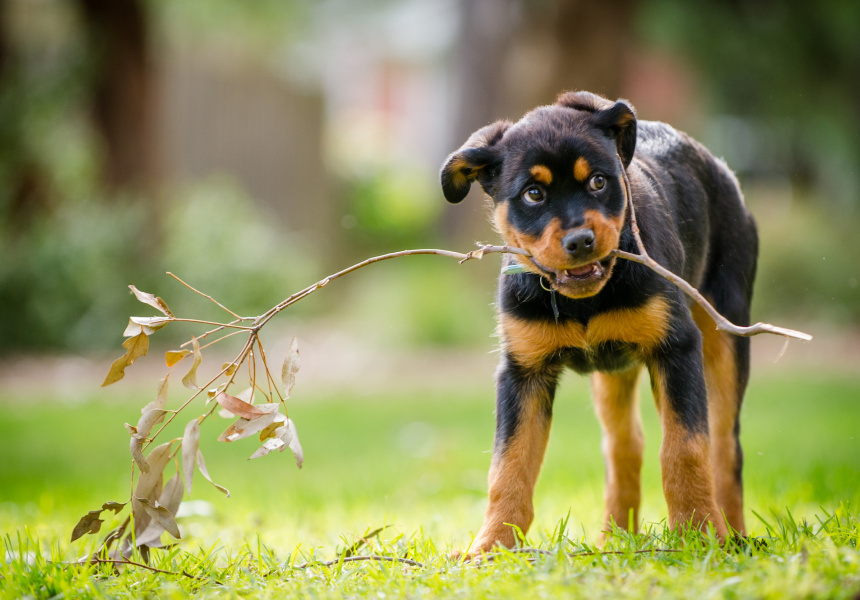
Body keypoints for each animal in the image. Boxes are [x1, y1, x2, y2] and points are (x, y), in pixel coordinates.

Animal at [440, 90, 756, 552]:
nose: (580, 241)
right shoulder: (522, 372)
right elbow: (509, 464)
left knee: (723, 447)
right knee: (625, 445)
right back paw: (615, 539)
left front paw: (697, 533)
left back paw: (732, 535)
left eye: (598, 182)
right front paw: (492, 546)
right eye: (533, 194)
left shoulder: (677, 348)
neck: (584, 303)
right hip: (613, 374)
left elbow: (684, 449)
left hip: (726, 333)